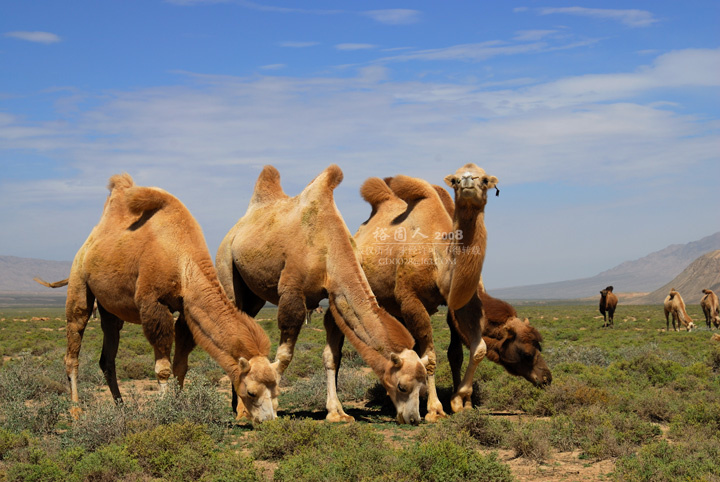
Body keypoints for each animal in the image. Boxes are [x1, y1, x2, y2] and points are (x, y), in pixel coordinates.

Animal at [35, 173, 280, 422]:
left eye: (277, 388)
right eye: (252, 391)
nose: (269, 420)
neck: (182, 261)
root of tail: (87, 245)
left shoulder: (186, 309)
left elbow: (181, 364)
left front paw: (179, 405)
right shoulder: (154, 304)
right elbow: (163, 368)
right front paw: (164, 410)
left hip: (110, 311)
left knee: (107, 357)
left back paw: (121, 407)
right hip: (79, 281)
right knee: (74, 340)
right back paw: (75, 409)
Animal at [214, 166, 428, 426]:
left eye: (422, 385)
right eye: (402, 386)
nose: (414, 418)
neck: (329, 248)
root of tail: (236, 229)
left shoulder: (334, 297)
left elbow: (331, 356)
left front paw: (337, 413)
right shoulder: (291, 292)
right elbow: (285, 355)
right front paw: (272, 406)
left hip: (254, 297)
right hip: (226, 266)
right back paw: (241, 410)